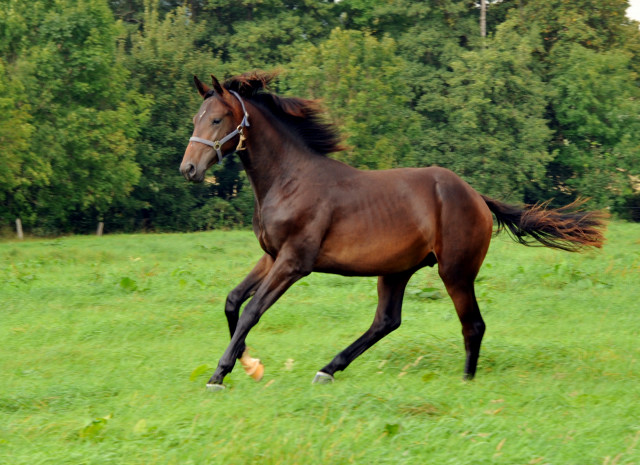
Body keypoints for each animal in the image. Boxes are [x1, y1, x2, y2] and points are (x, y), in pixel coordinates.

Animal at [179, 71, 604, 392]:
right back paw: (327, 370)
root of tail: (477, 197)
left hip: (455, 272)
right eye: (196, 119)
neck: (288, 180)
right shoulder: (271, 256)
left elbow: (252, 310)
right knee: (386, 321)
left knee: (473, 324)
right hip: (397, 270)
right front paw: (249, 363)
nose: (188, 169)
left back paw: (466, 381)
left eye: (216, 120)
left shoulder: (294, 262)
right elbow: (233, 301)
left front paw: (219, 375)